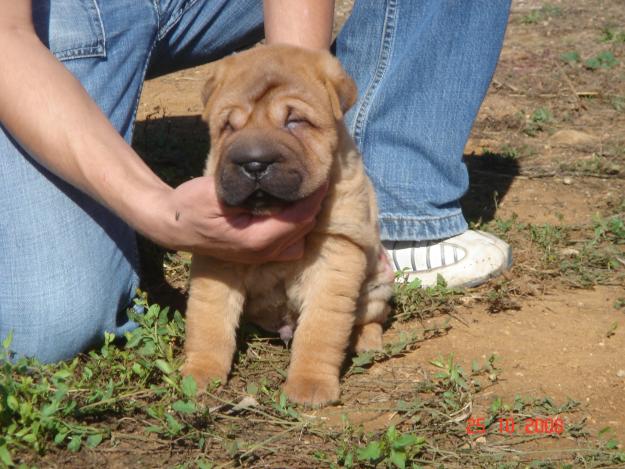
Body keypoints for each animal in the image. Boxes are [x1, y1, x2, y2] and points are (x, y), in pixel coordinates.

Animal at [183, 44, 392, 406]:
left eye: (294, 121)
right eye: (229, 126)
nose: (254, 163)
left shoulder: (335, 254)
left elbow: (321, 329)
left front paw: (310, 386)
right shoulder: (217, 254)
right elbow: (208, 319)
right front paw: (198, 375)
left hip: (379, 285)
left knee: (370, 318)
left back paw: (367, 342)